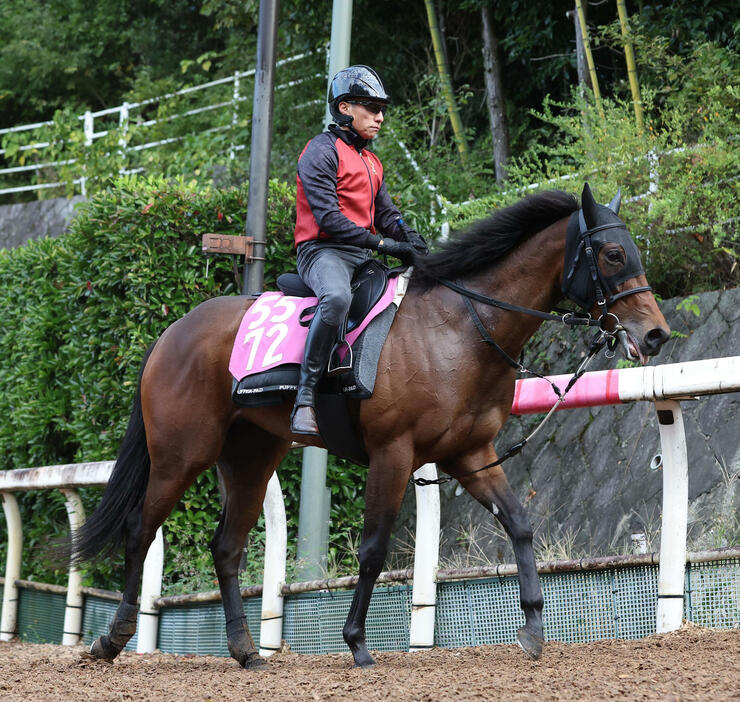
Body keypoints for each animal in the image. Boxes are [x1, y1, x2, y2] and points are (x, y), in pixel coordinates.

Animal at [73, 183, 672, 672]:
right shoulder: (393, 452)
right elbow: (374, 549)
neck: (460, 329)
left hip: (251, 456)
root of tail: (173, 330)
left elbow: (521, 526)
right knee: (140, 530)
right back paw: (111, 640)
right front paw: (357, 643)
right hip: (181, 453)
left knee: (226, 547)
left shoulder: (472, 454)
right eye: (614, 253)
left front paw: (532, 627)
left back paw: (246, 651)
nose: (657, 333)